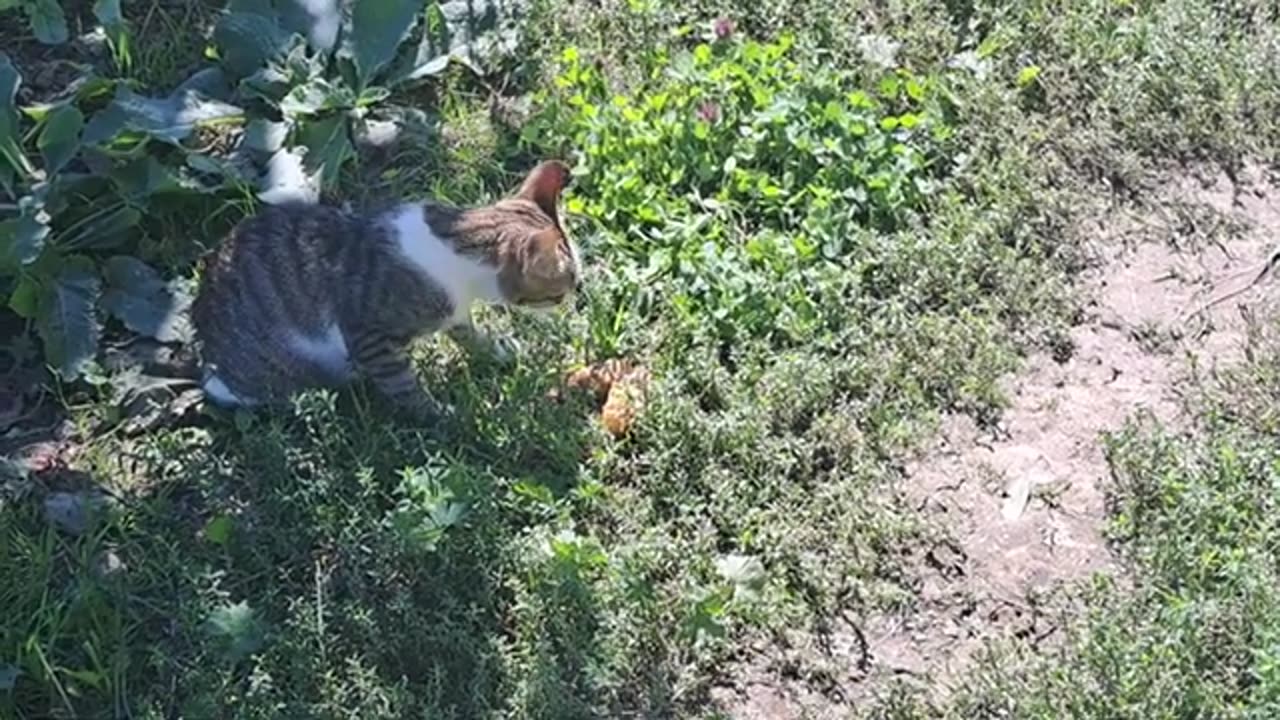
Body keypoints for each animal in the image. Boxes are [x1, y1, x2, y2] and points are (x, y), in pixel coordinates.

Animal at [190, 156, 581, 415]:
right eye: (565, 285)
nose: (579, 292)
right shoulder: (370, 336)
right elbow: (404, 386)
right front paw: (443, 417)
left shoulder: (453, 312)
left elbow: (470, 335)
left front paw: (497, 350)